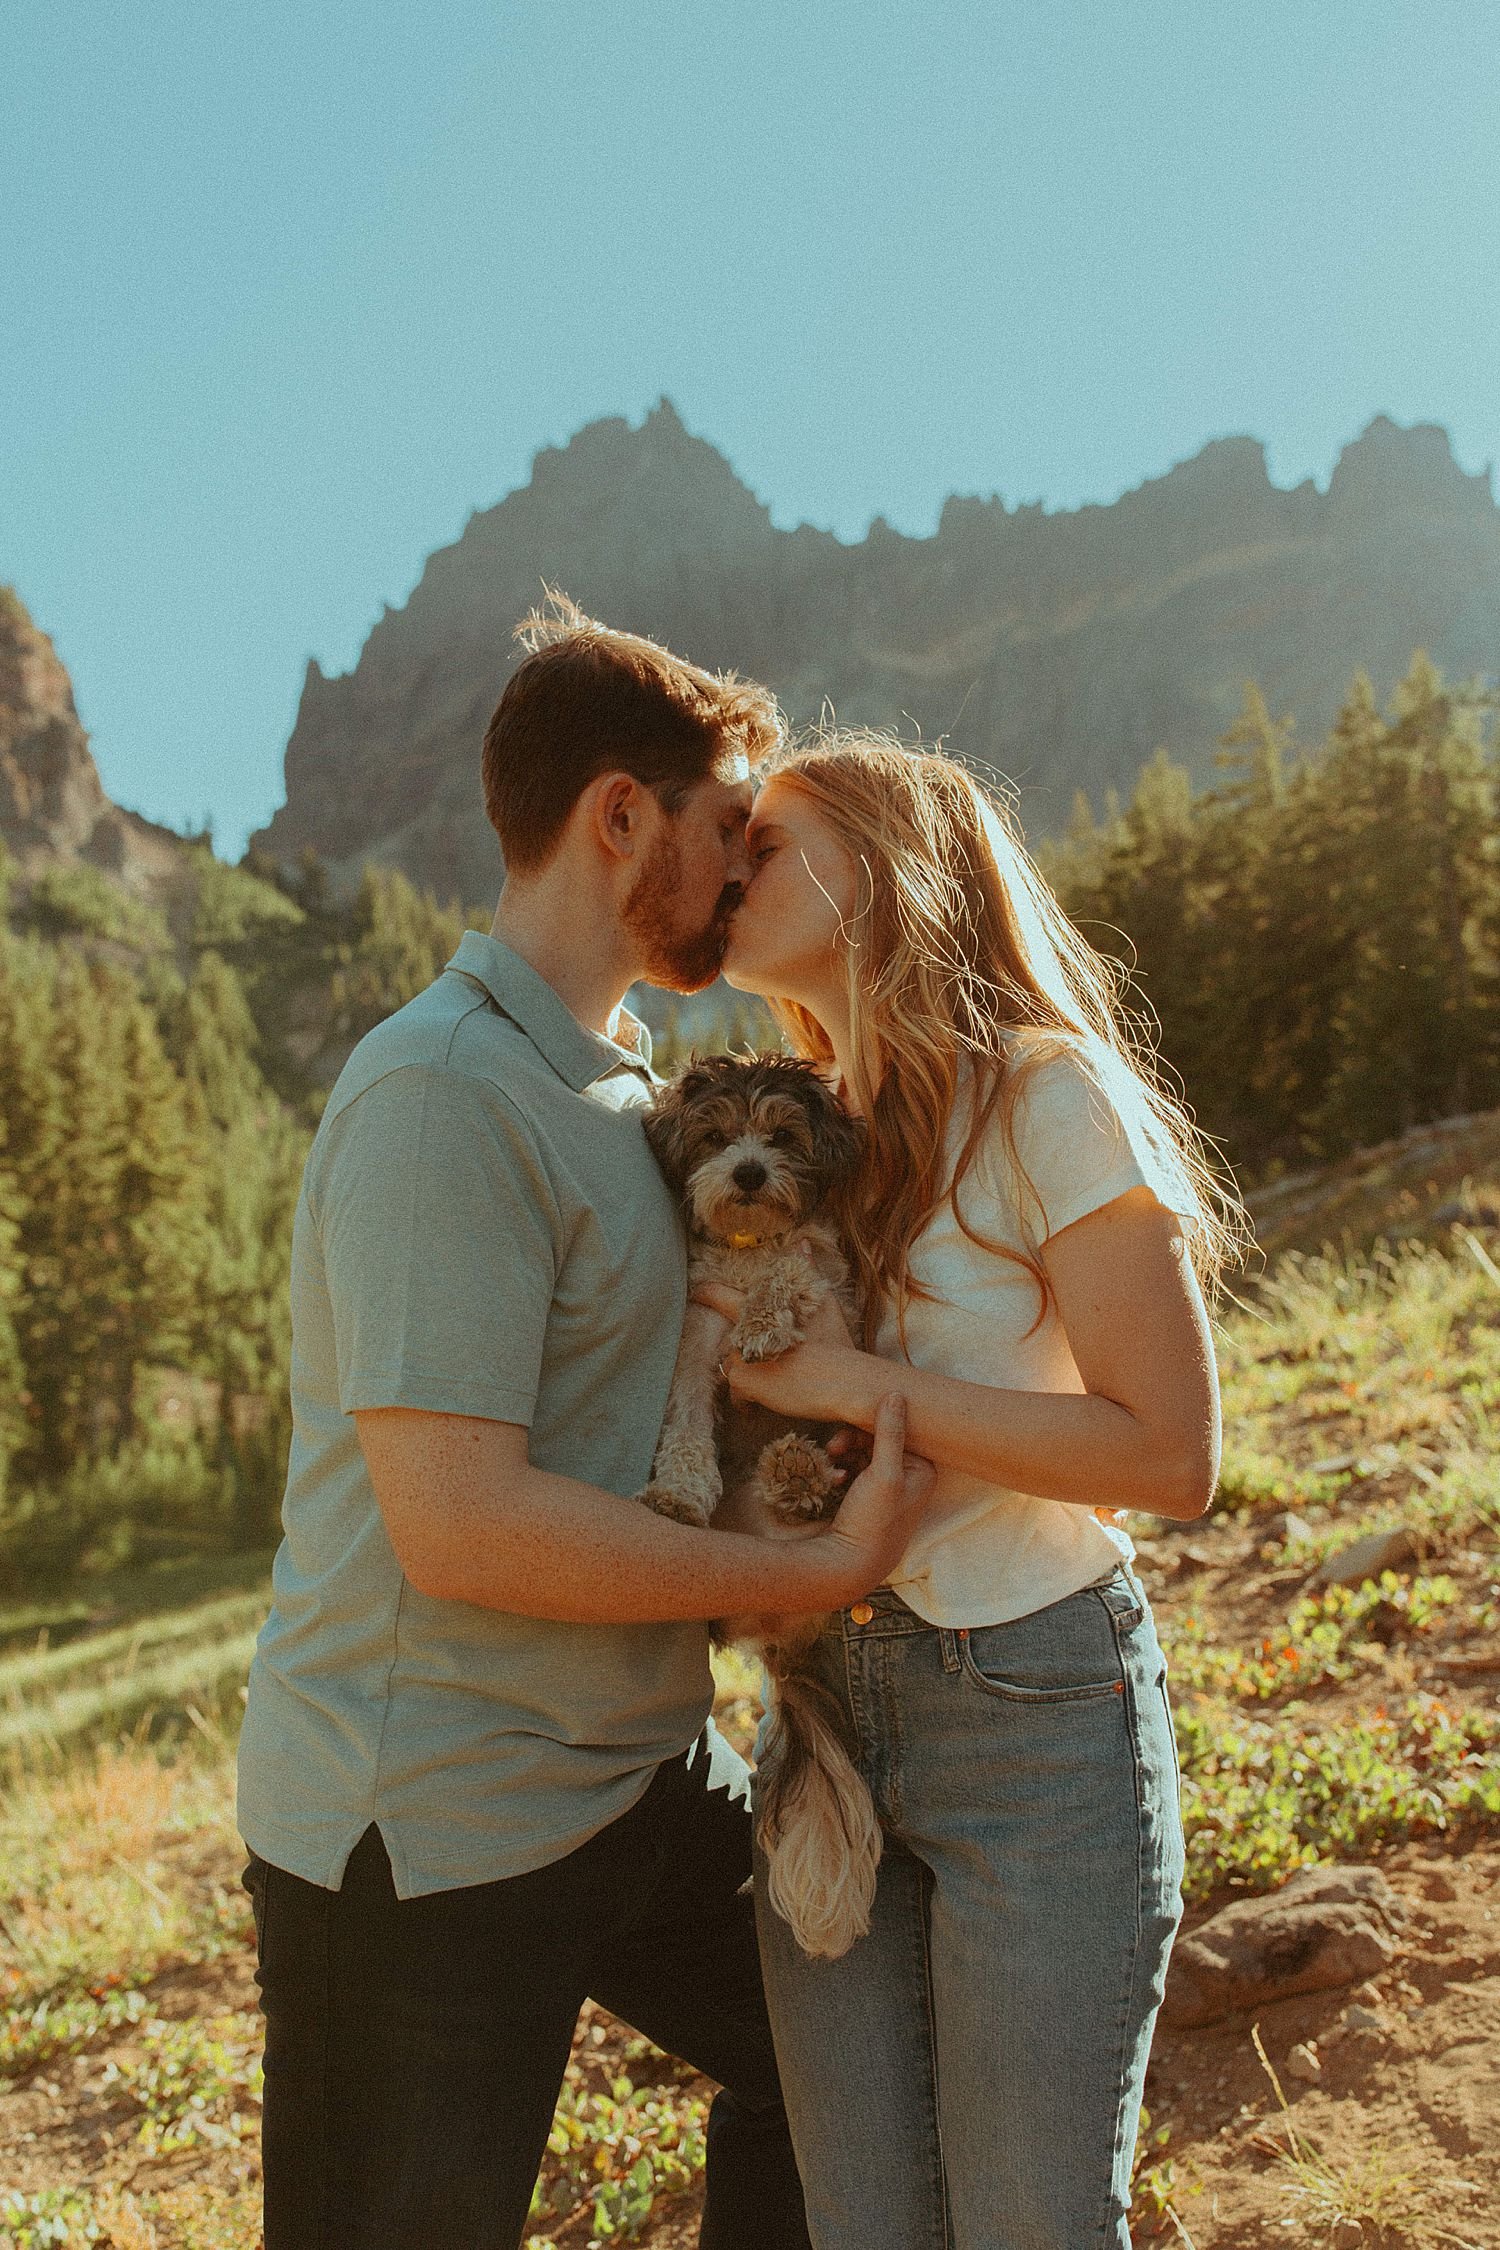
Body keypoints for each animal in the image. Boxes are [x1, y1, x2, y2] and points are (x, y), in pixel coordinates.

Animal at [643, 1053, 881, 1953]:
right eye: (715, 1136)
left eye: (781, 1135)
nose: (747, 1172)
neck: (746, 1248)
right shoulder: (689, 1345)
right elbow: (682, 1424)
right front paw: (678, 1490)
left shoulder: (827, 1281)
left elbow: (790, 1274)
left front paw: (765, 1325)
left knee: (823, 1480)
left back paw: (799, 1471)